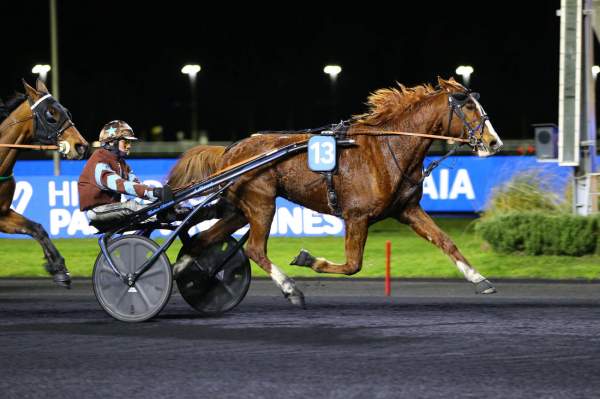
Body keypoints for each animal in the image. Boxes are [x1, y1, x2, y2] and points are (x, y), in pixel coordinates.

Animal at [0, 80, 89, 288]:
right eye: (50, 115)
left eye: (67, 112)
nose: (81, 146)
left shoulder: (2, 213)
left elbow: (37, 228)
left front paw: (59, 269)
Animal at [168, 77, 502, 306]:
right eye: (468, 105)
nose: (495, 142)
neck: (387, 148)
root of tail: (229, 151)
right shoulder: (357, 216)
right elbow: (353, 265)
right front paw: (308, 259)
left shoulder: (407, 210)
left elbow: (445, 241)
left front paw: (479, 278)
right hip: (262, 204)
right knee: (254, 249)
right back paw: (291, 289)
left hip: (241, 209)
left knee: (204, 238)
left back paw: (179, 272)